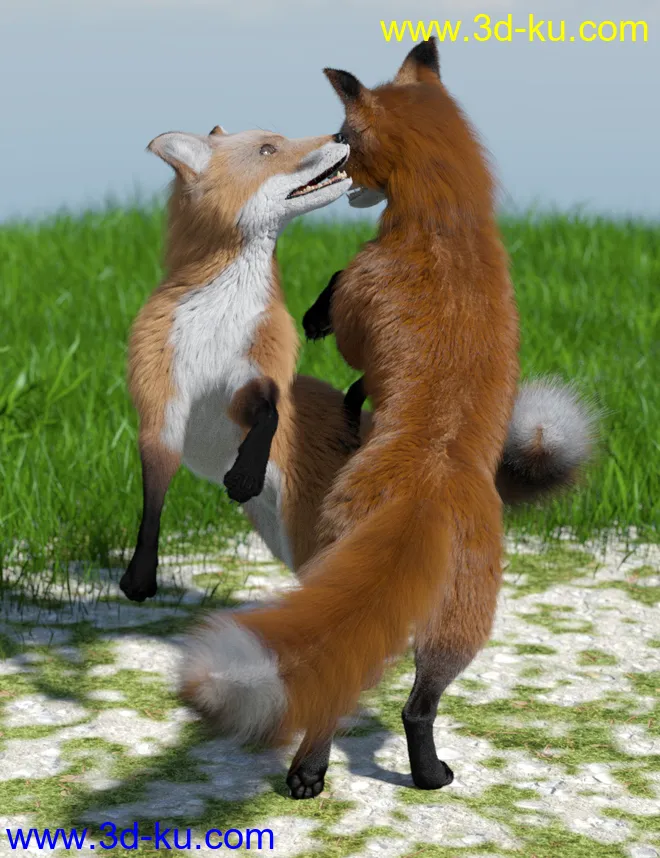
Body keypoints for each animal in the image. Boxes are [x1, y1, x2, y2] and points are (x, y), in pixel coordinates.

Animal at [179, 38, 597, 799]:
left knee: (339, 695)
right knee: (416, 705)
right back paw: (428, 775)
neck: (448, 221)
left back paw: (308, 773)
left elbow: (340, 318)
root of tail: (426, 493)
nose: (332, 165)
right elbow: (353, 378)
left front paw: (318, 324)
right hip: (461, 630)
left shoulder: (359, 307)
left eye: (344, 133)